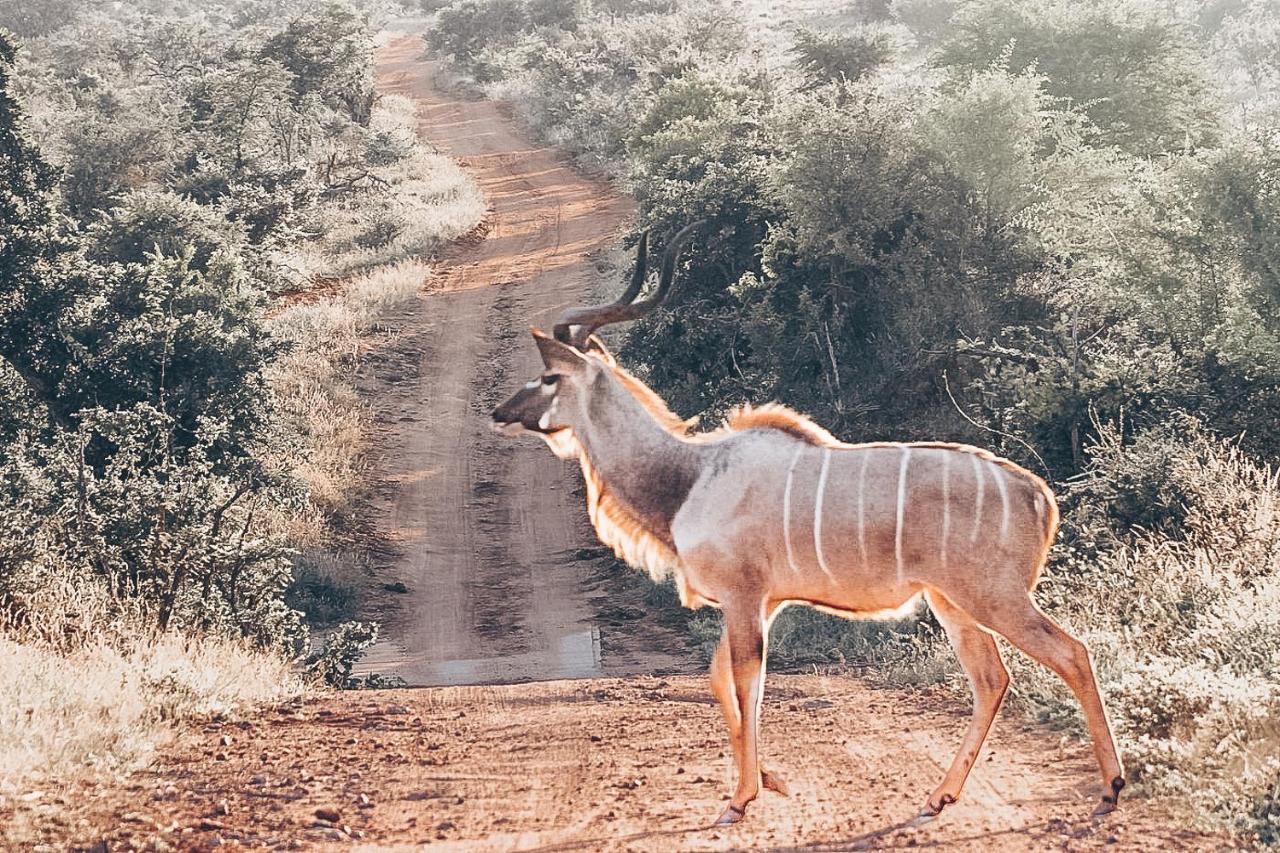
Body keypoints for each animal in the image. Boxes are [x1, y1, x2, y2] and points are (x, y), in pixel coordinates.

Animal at [483, 222, 1126, 819]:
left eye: (548, 377)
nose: (499, 413)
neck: (689, 476)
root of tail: (1038, 494)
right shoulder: (758, 603)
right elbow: (719, 680)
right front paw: (769, 781)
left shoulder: (745, 598)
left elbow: (746, 683)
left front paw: (741, 797)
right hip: (951, 602)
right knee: (992, 677)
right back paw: (940, 795)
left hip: (992, 595)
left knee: (1071, 653)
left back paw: (1112, 787)